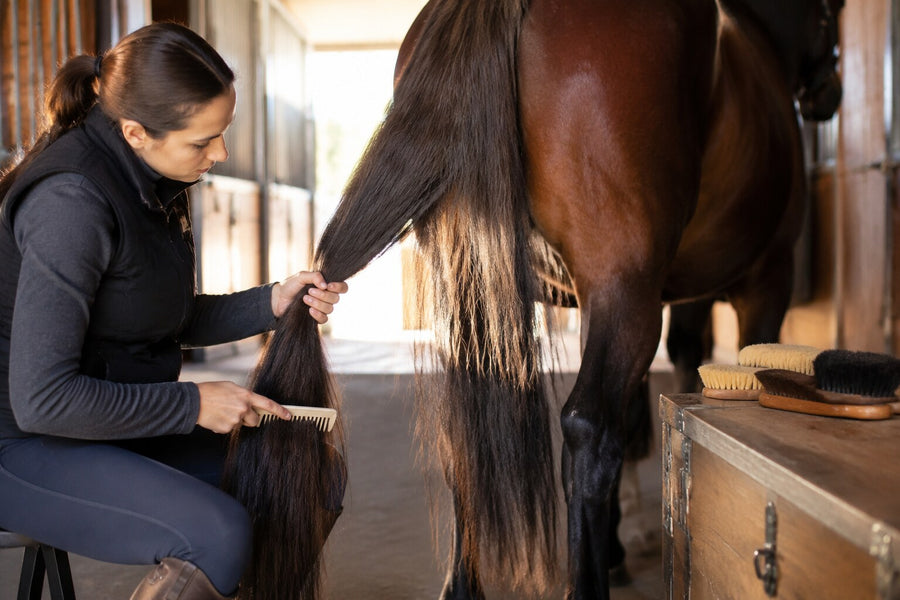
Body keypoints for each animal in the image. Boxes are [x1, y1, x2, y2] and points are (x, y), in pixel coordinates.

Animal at [301, 0, 845, 598]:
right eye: (831, 12)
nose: (829, 94)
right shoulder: (758, 284)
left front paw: (616, 545)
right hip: (627, 289)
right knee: (590, 431)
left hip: (476, 297)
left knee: (466, 437)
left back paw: (464, 583)